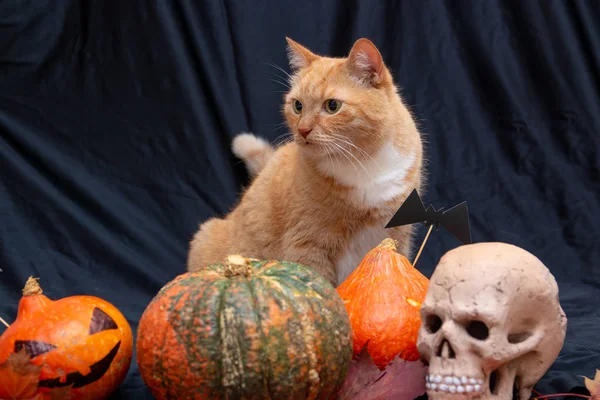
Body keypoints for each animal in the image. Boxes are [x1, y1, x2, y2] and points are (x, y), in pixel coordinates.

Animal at [185, 37, 424, 286]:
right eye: (298, 106)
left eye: (332, 106)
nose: (303, 130)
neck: (363, 162)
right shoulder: (307, 245)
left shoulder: (399, 236)